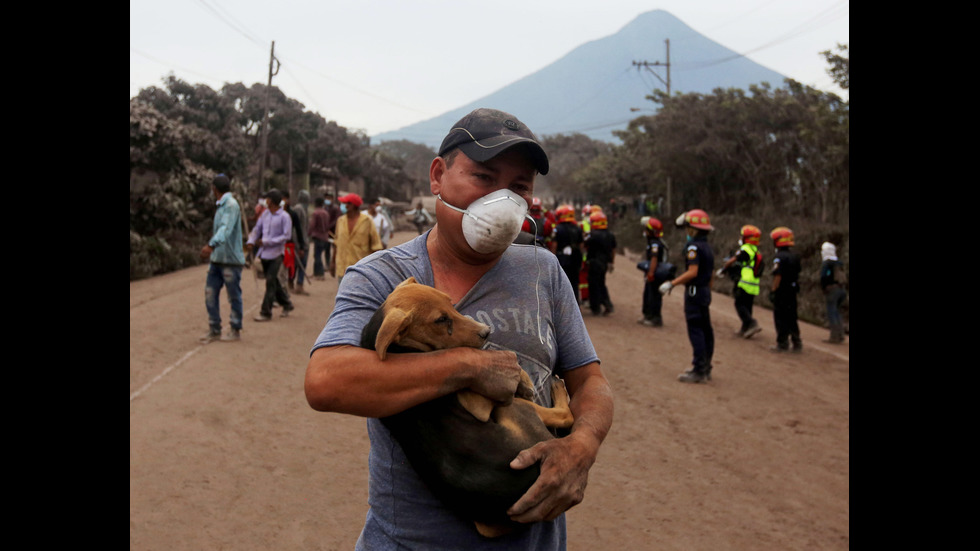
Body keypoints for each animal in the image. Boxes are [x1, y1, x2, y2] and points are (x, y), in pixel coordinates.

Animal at [360, 278, 576, 536]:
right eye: (440, 320)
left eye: (450, 302)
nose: (486, 332)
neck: (398, 346)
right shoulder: (477, 404)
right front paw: (521, 378)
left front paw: (523, 381)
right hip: (514, 409)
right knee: (564, 416)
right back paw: (557, 389)